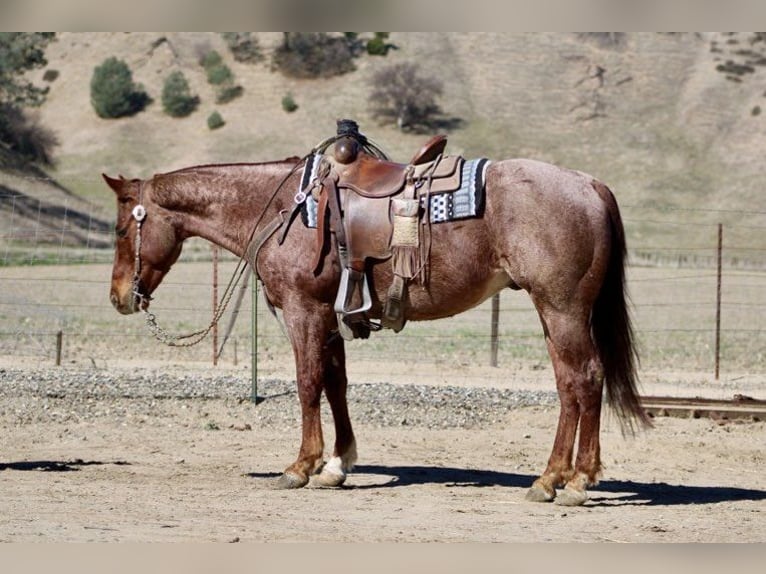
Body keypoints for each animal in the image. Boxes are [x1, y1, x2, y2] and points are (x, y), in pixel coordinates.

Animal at [105, 142, 652, 506]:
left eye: (119, 228)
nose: (118, 297)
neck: (283, 209)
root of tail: (588, 184)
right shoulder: (330, 318)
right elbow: (336, 384)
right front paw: (336, 464)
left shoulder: (303, 311)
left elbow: (308, 383)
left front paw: (300, 466)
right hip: (555, 313)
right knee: (572, 384)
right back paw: (557, 477)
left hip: (562, 308)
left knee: (584, 380)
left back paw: (572, 481)